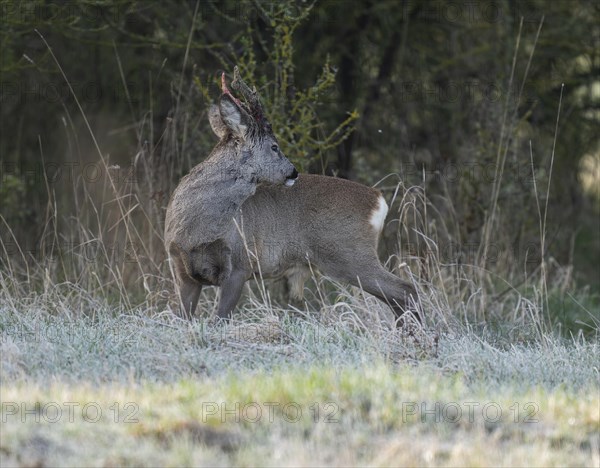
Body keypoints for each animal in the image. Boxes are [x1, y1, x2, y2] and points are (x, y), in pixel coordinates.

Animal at [162, 67, 420, 328]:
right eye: (275, 147)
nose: (293, 171)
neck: (197, 230)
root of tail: (378, 200)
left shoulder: (241, 264)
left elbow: (221, 318)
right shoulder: (181, 269)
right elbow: (183, 317)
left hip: (351, 253)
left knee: (405, 289)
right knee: (398, 296)